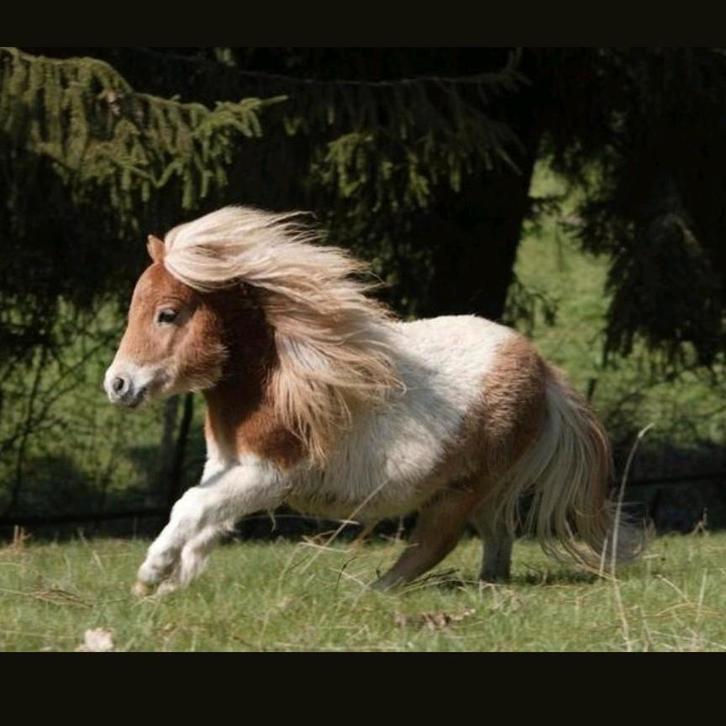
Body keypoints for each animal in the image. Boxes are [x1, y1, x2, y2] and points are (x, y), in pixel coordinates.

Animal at [104, 206, 643, 595]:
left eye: (167, 314)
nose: (117, 385)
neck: (281, 379)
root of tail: (542, 370)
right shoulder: (227, 465)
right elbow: (206, 519)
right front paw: (174, 583)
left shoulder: (270, 476)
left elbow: (192, 507)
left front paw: (151, 576)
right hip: (486, 491)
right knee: (498, 535)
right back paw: (489, 587)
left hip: (461, 490)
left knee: (436, 542)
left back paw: (374, 592)